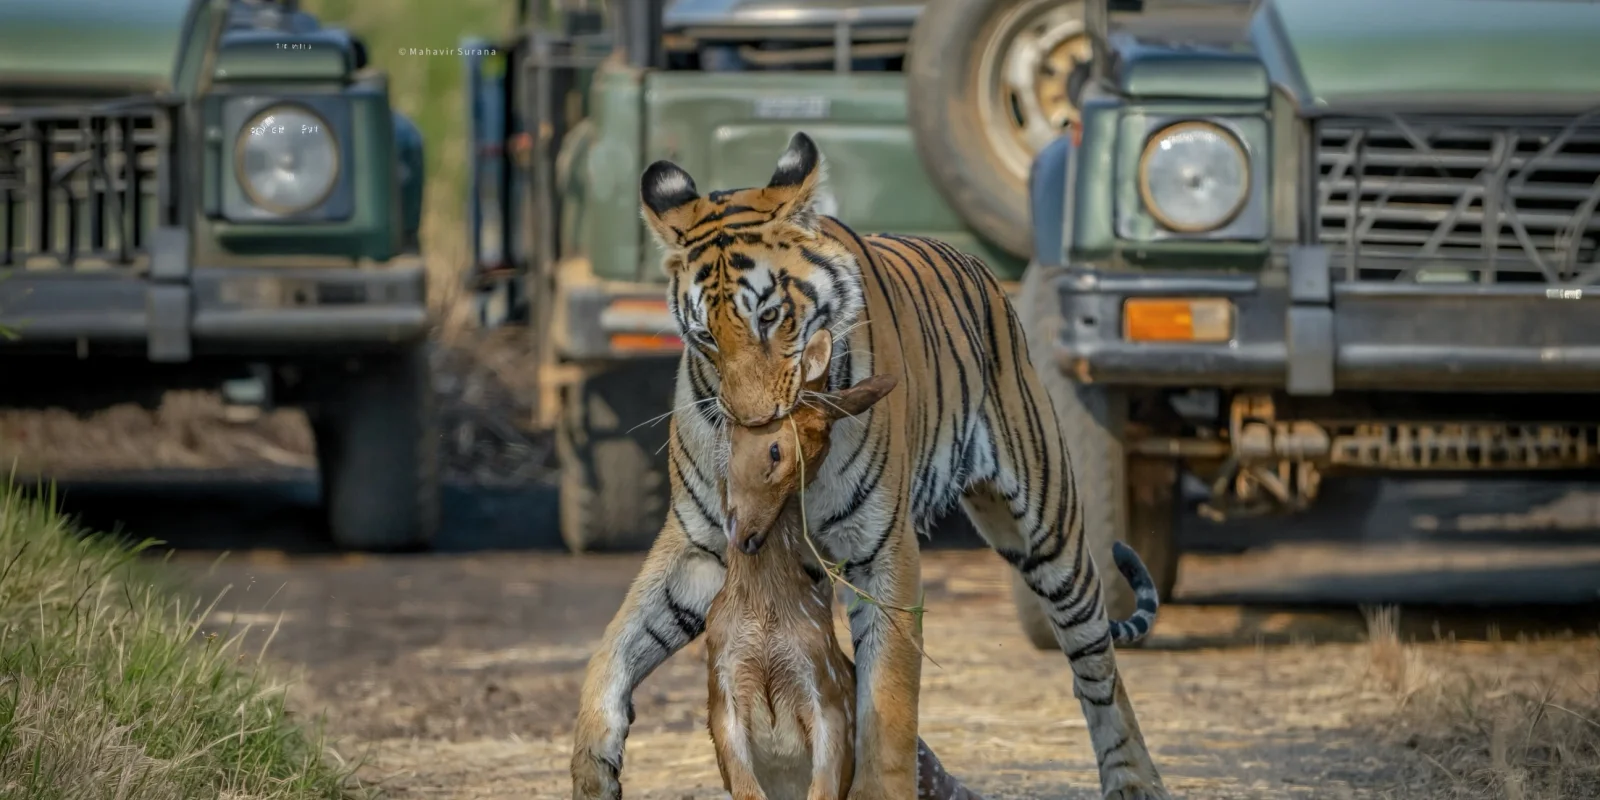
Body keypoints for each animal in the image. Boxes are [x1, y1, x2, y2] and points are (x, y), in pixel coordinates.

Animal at [569, 131, 1169, 800]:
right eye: (704, 337)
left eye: (769, 317)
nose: (753, 423)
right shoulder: (701, 545)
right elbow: (610, 654)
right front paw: (594, 768)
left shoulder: (882, 551)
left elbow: (886, 710)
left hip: (1049, 525)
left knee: (1098, 665)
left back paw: (1135, 778)